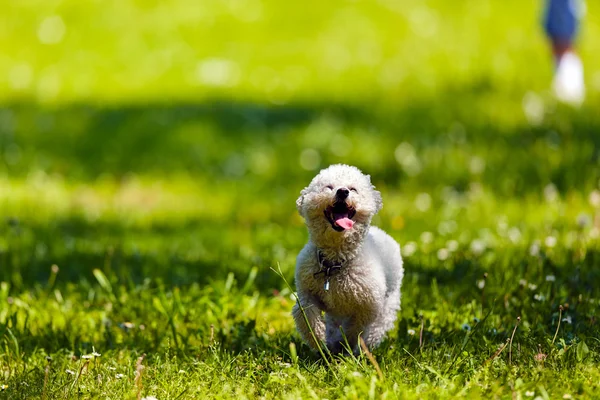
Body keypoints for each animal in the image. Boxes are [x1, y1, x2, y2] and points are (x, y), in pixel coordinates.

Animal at [292, 163, 404, 354]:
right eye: (328, 187)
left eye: (353, 189)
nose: (342, 191)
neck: (334, 264)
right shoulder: (306, 292)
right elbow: (305, 314)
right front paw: (318, 339)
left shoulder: (367, 307)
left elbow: (355, 328)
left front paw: (345, 345)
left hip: (388, 306)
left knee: (375, 329)